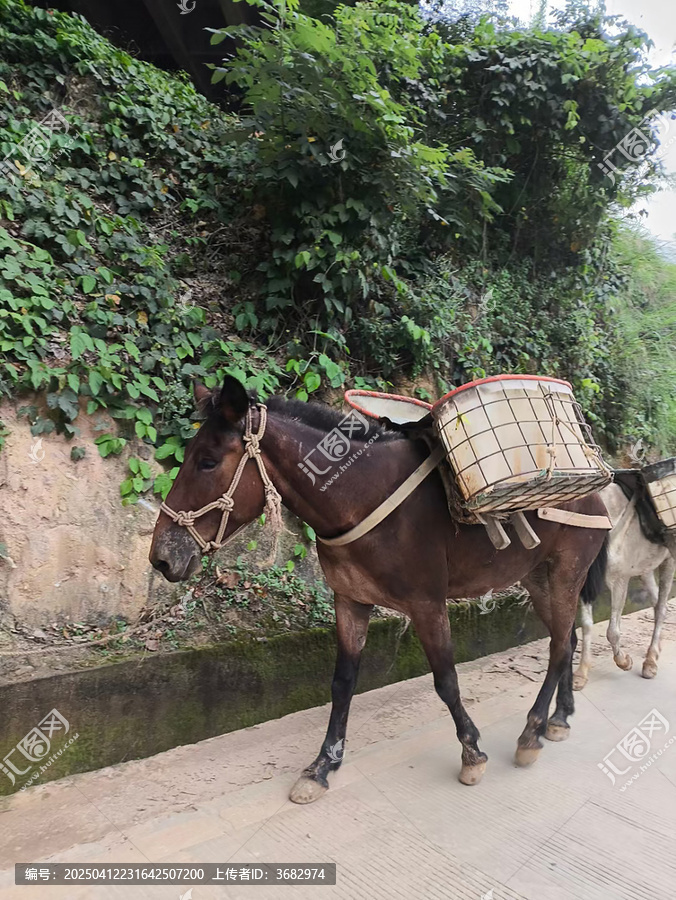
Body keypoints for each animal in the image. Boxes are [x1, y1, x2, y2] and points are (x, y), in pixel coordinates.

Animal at [149, 376, 608, 804]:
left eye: (207, 462)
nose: (162, 558)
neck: (361, 496)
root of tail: (601, 493)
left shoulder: (427, 604)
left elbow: (446, 681)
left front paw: (472, 752)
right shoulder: (350, 600)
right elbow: (342, 683)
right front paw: (322, 765)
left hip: (566, 573)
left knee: (558, 647)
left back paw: (532, 732)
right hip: (537, 578)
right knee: (565, 639)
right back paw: (559, 718)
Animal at [573, 480, 676, 690]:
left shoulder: (620, 579)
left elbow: (612, 631)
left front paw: (624, 661)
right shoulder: (586, 583)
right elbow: (587, 625)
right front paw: (581, 674)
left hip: (669, 559)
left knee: (661, 607)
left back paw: (650, 662)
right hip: (645, 568)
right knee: (657, 603)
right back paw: (656, 650)